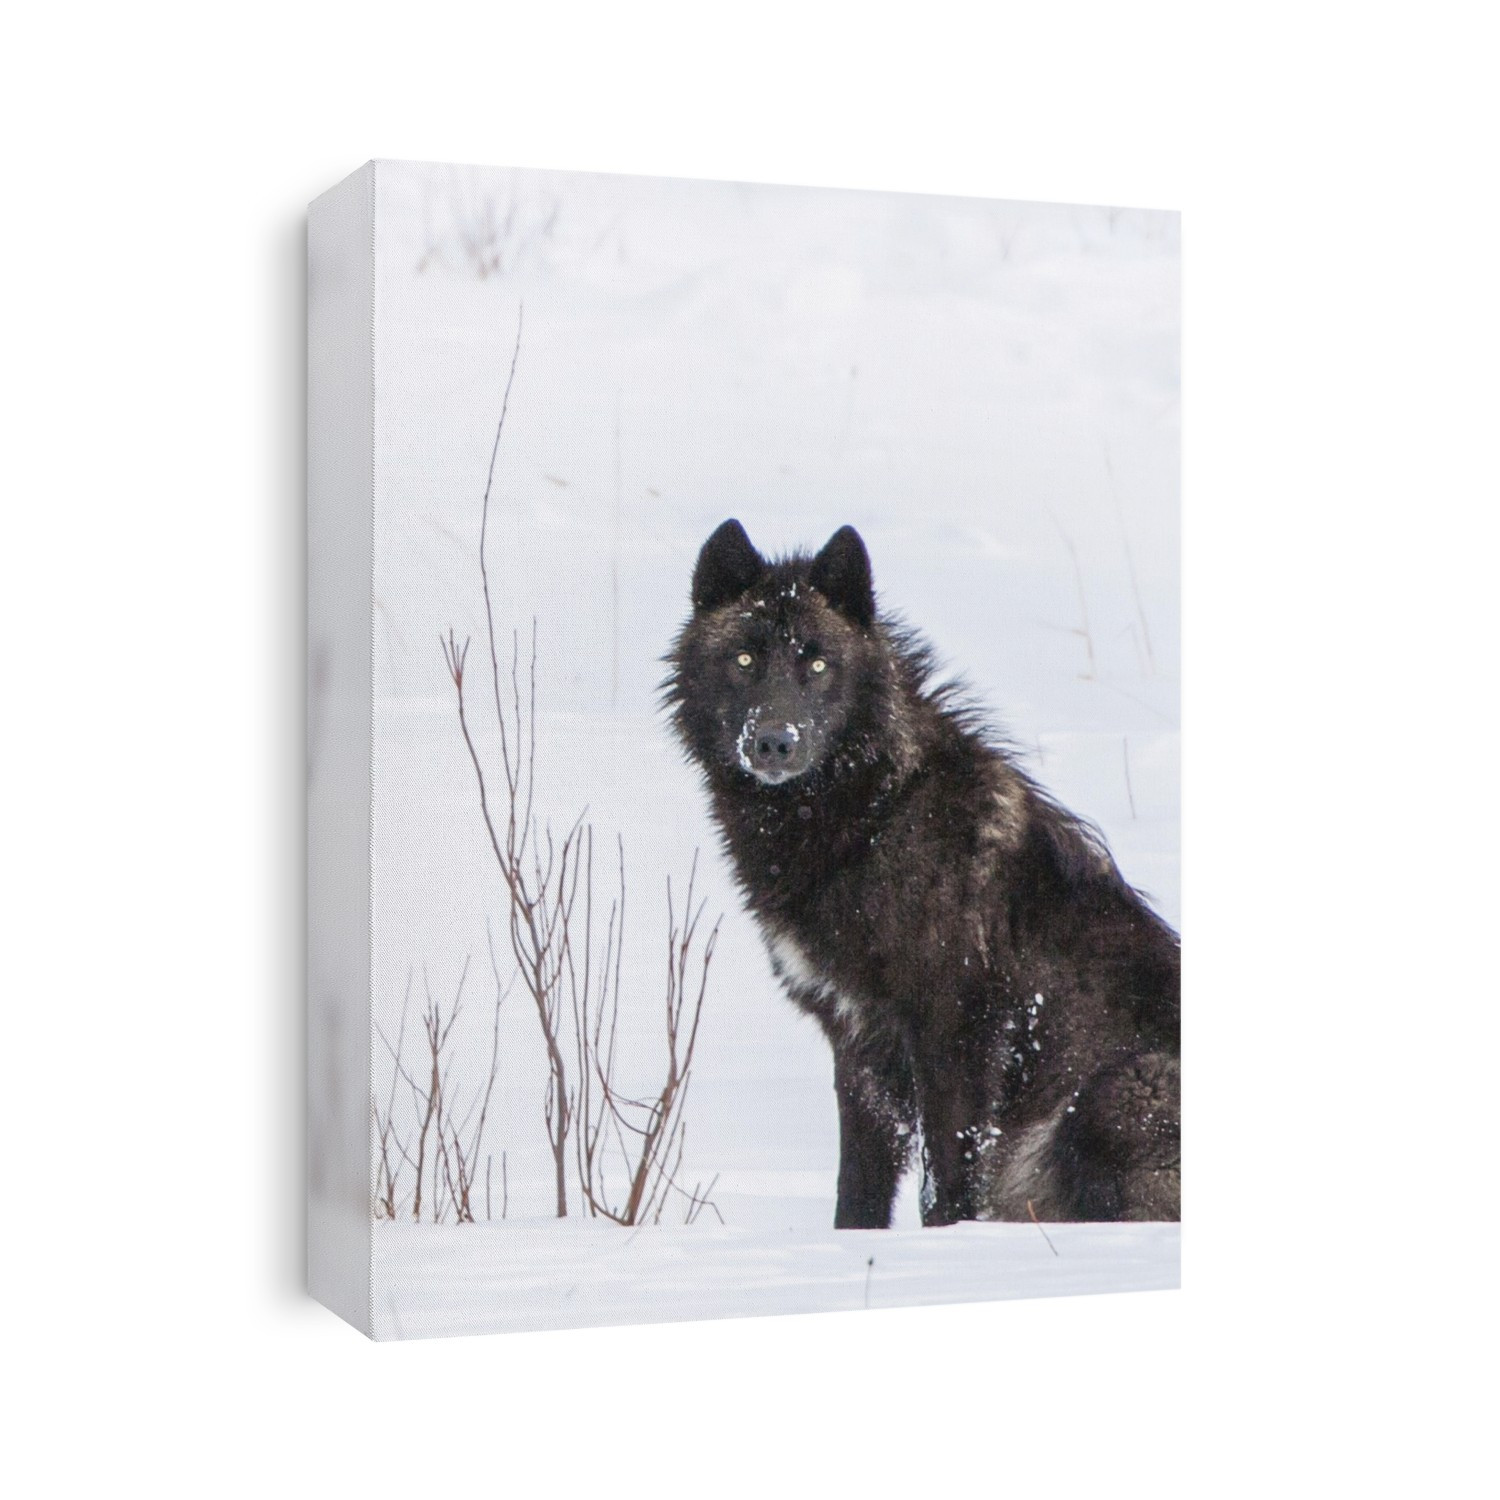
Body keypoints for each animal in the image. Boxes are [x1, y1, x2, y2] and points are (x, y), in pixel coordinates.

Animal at [665, 519, 1180, 1227]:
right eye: (744, 660)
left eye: (817, 664)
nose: (774, 741)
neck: (873, 813)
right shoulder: (856, 1038)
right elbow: (858, 1187)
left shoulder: (956, 1029)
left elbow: (946, 1182)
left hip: (1115, 1094)